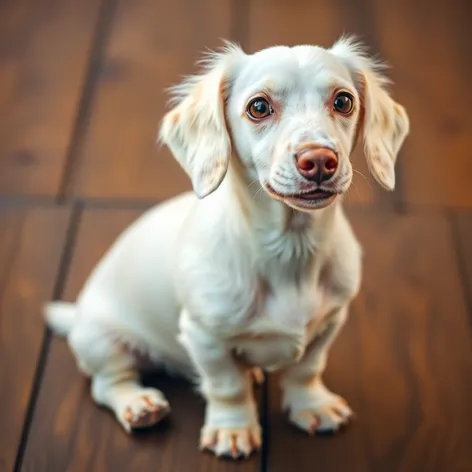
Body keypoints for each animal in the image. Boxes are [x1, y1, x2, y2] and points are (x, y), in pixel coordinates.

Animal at [45, 37, 410, 458]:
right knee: (108, 383)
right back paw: (139, 405)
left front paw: (313, 407)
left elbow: (306, 369)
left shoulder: (329, 323)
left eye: (344, 101)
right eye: (259, 107)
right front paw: (233, 430)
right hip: (102, 342)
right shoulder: (205, 338)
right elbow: (227, 387)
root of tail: (78, 316)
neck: (291, 251)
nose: (319, 160)